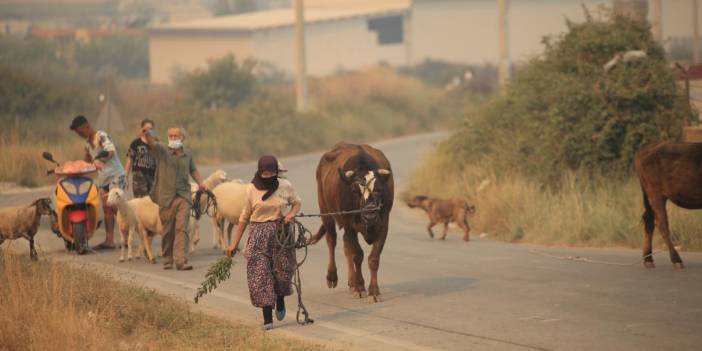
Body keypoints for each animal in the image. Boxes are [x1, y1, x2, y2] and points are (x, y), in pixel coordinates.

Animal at [310, 142, 396, 302]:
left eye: (379, 189)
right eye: (355, 191)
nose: (370, 215)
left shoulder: (383, 225)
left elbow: (373, 258)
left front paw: (374, 291)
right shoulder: (349, 225)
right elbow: (357, 255)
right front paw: (360, 287)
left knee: (345, 245)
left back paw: (351, 282)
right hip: (325, 211)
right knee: (332, 240)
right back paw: (332, 276)